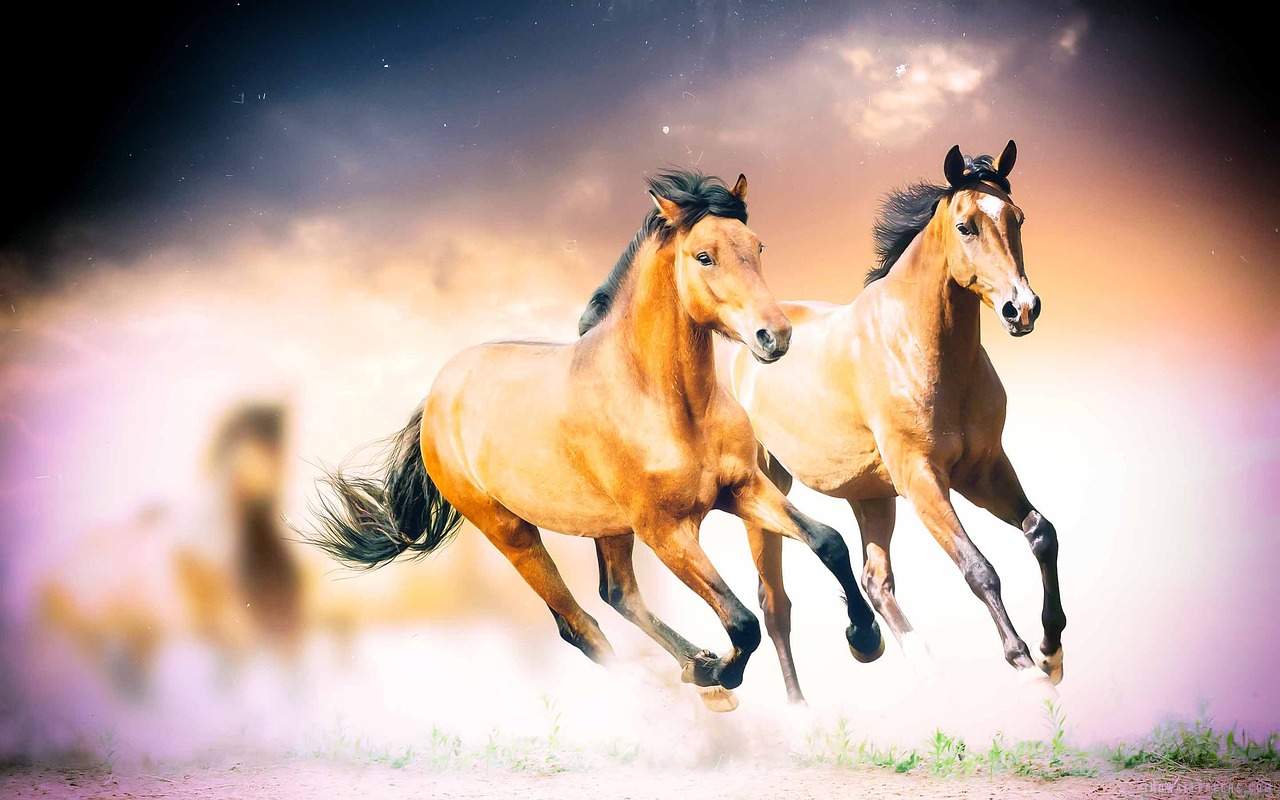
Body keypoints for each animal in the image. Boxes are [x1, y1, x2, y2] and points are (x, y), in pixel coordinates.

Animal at [307, 170, 884, 711]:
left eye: (757, 246)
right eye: (704, 256)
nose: (775, 336)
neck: (668, 403)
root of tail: (437, 396)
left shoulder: (741, 488)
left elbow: (828, 541)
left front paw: (864, 638)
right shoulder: (665, 531)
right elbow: (741, 621)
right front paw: (720, 671)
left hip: (609, 527)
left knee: (618, 594)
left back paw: (695, 667)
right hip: (512, 533)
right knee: (579, 625)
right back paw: (682, 689)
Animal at [723, 142, 1066, 704]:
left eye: (1016, 218)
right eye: (966, 226)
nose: (1023, 309)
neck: (920, 347)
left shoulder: (984, 469)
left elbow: (1041, 533)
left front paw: (1051, 651)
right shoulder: (923, 478)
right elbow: (979, 569)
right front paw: (1025, 665)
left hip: (871, 496)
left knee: (874, 580)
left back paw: (906, 657)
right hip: (766, 493)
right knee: (775, 605)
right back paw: (802, 709)